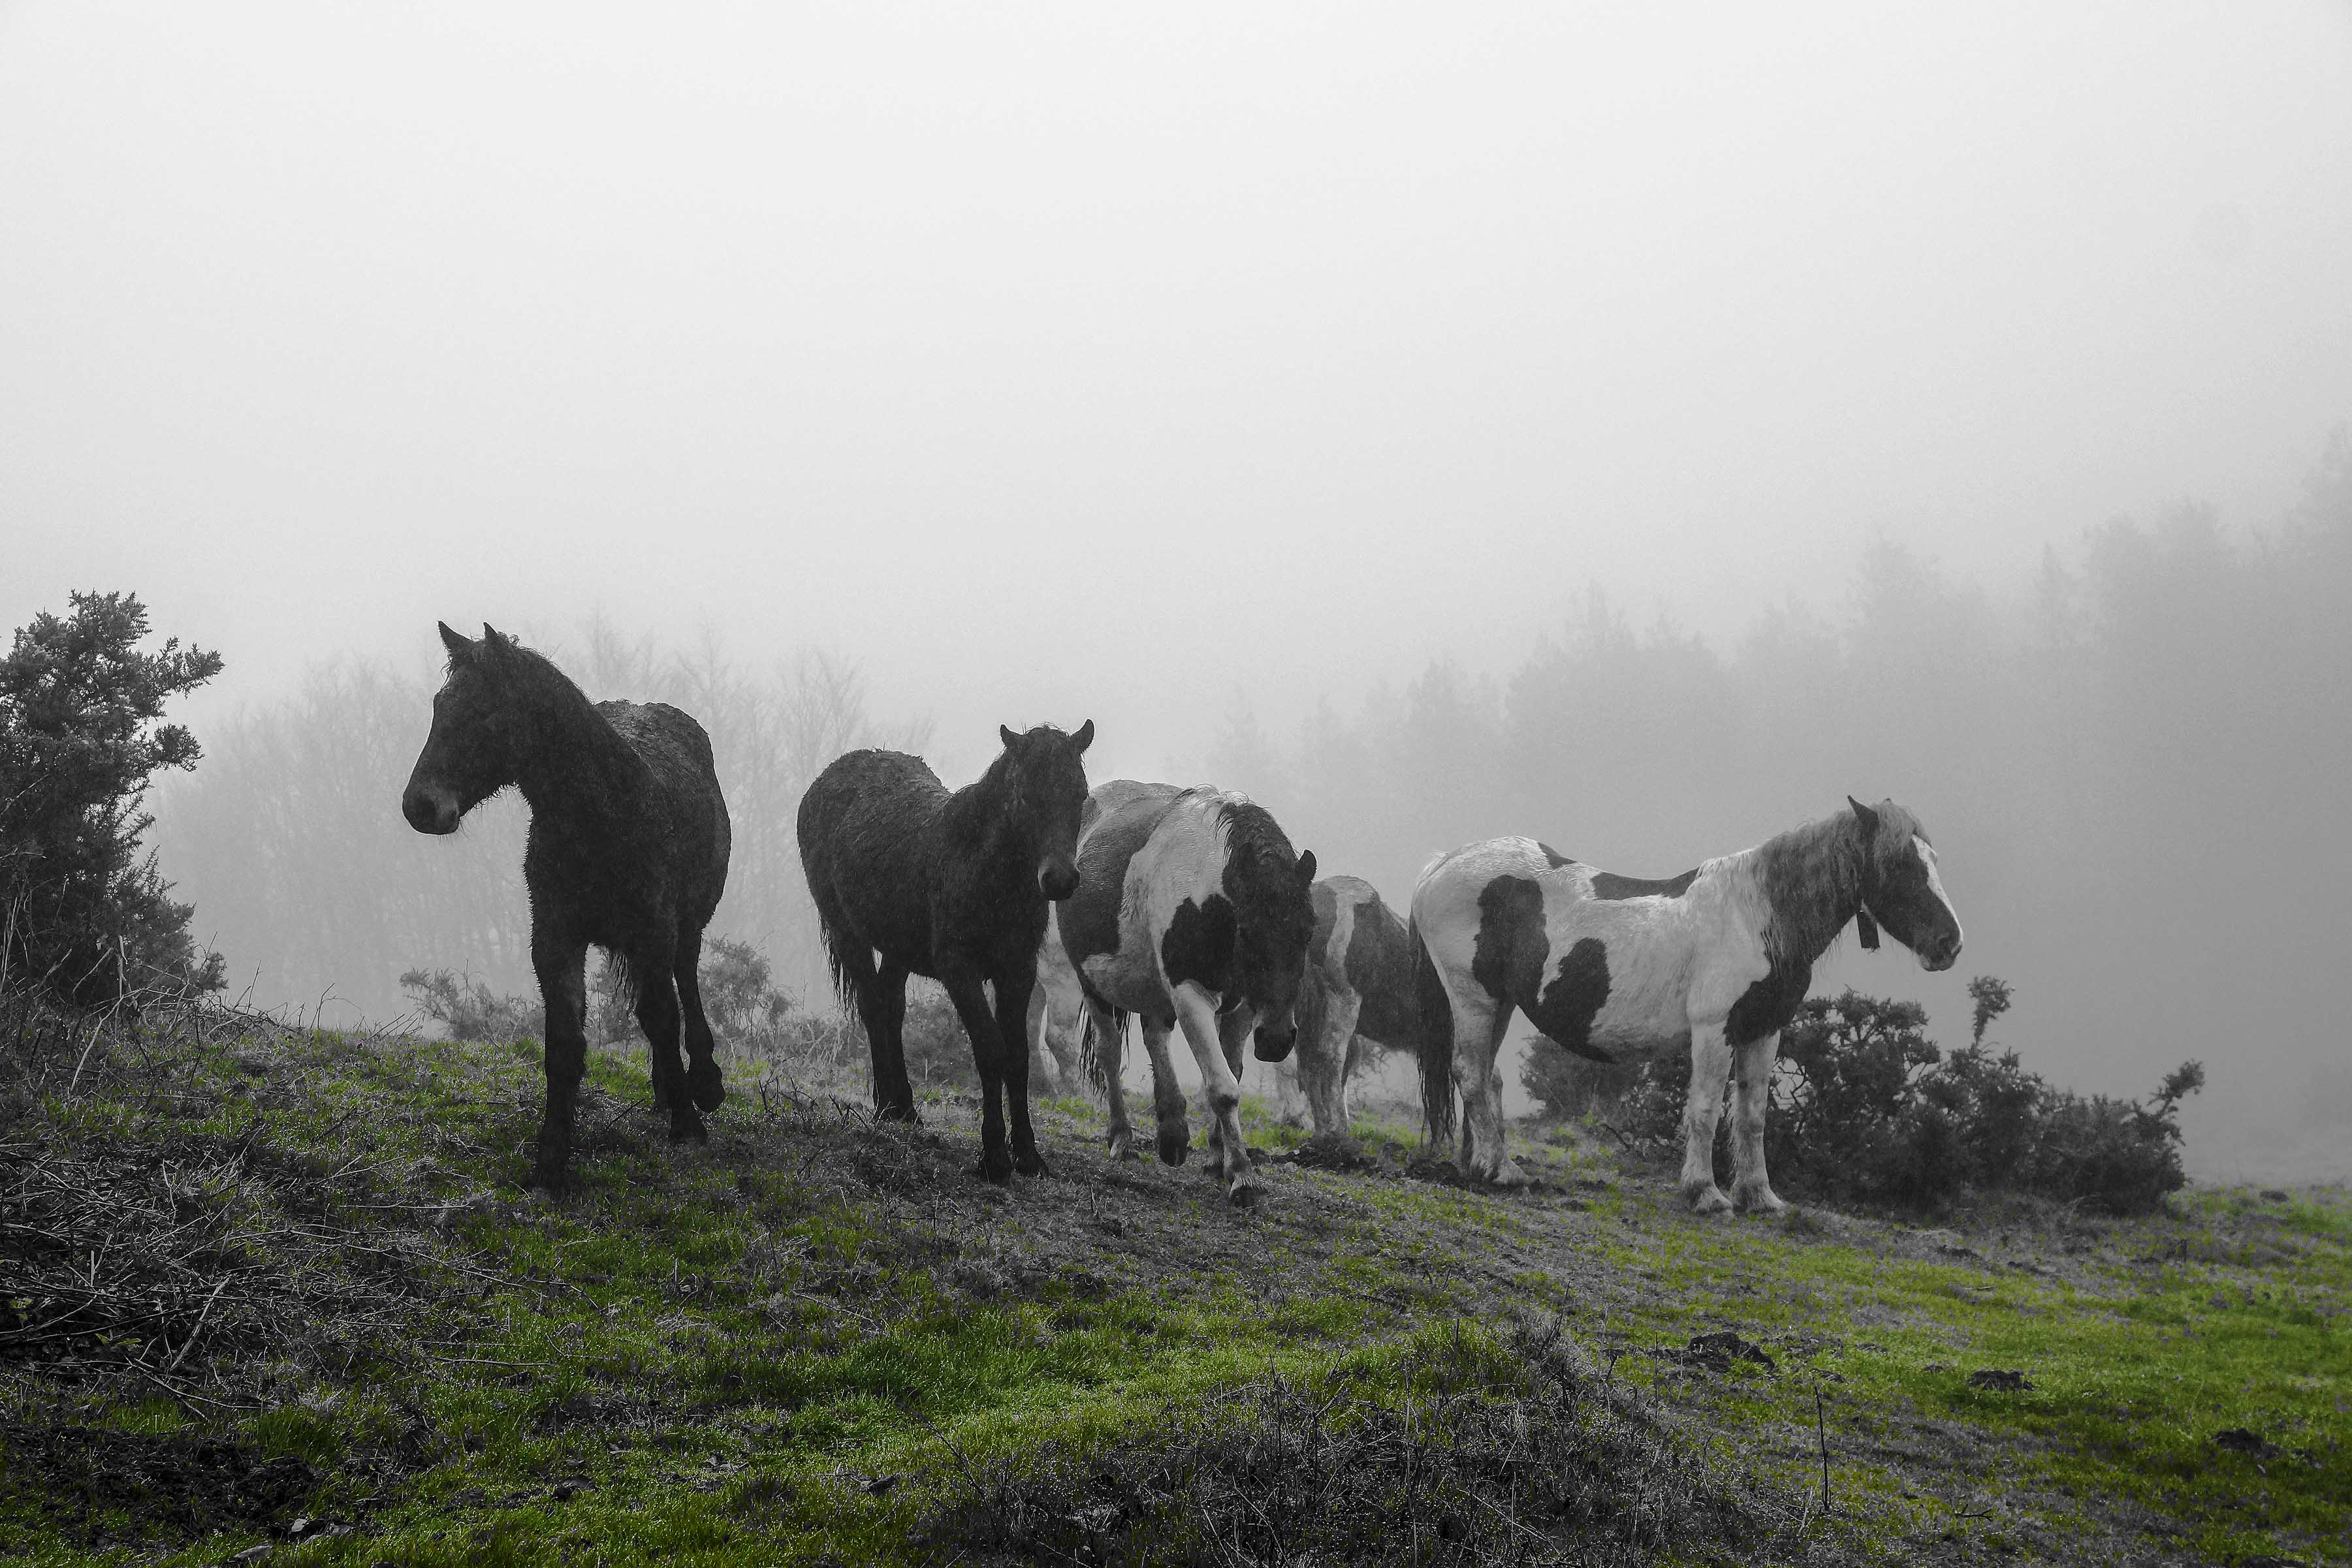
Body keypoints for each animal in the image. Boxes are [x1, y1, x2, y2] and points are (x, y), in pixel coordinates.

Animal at [404, 620, 729, 1189]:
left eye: (483, 712)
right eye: (440, 706)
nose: (419, 806)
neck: (603, 816)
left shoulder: (653, 933)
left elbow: (664, 1018)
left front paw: (688, 1126)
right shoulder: (555, 939)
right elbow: (564, 1044)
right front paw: (551, 1158)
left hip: (687, 926)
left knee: (684, 986)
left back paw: (702, 1084)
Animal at [799, 719, 1091, 1185]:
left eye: (1079, 793)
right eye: (1025, 795)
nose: (1060, 879)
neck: (981, 868)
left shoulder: (1018, 971)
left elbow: (1018, 1056)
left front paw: (1028, 1156)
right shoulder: (960, 971)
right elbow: (990, 1049)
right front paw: (995, 1157)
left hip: (898, 949)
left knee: (890, 1009)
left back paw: (901, 1107)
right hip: (848, 933)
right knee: (872, 1007)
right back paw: (888, 1106)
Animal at [1401, 799, 1956, 1213]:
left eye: (1934, 859)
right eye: (1900, 863)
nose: (1950, 943)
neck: (1755, 918)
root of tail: (1441, 864)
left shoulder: (1764, 1030)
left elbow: (1753, 1115)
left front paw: (1760, 1196)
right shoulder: (1715, 1029)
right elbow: (1706, 1110)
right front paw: (1705, 1194)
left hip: (1499, 1004)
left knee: (1484, 1076)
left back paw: (1482, 1165)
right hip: (1472, 997)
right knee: (1470, 1073)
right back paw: (1504, 1170)